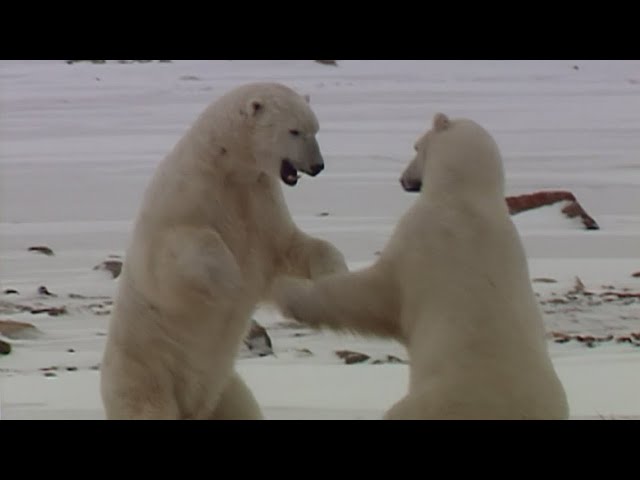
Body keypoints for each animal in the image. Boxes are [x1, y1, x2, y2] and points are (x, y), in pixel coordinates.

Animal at [100, 80, 348, 418]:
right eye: (294, 131)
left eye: (315, 129)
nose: (316, 165)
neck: (226, 164)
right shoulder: (187, 198)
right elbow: (176, 256)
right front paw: (230, 280)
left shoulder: (261, 203)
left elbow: (291, 250)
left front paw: (335, 276)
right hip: (144, 372)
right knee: (149, 407)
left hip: (224, 388)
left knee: (241, 407)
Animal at [274, 113, 568, 420]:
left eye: (416, 146)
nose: (404, 179)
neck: (464, 197)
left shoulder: (419, 243)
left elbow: (371, 295)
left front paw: (288, 289)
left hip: (439, 401)